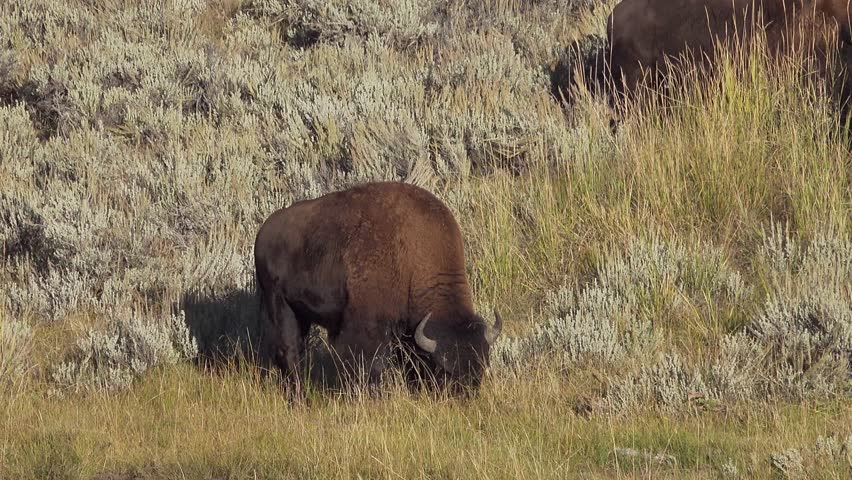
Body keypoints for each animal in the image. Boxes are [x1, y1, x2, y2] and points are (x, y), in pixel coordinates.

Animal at [253, 182, 502, 395]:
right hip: (278, 303)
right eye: (444, 369)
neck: (413, 257)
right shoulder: (368, 327)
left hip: (301, 313)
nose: (465, 395)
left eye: (481, 367)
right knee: (289, 351)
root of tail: (263, 233)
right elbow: (370, 364)